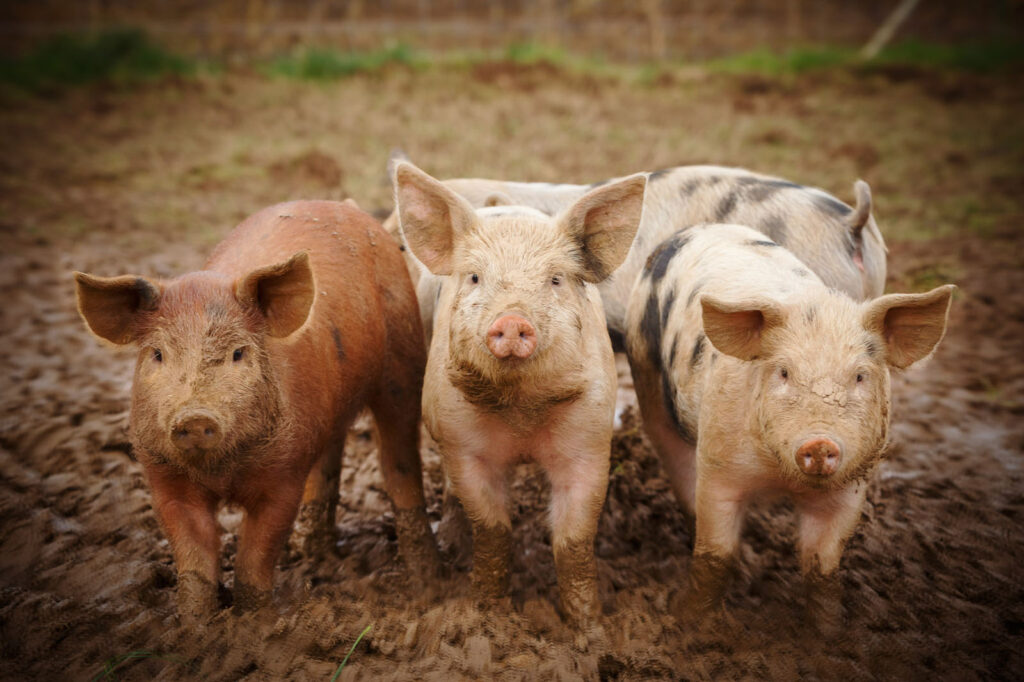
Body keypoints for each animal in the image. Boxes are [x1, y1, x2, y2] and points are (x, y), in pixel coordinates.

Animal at [74, 200, 439, 619]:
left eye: (238, 353)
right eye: (157, 354)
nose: (195, 417)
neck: (222, 473)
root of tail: (344, 206)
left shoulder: (284, 476)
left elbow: (256, 555)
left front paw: (255, 624)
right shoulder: (164, 477)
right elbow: (194, 559)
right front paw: (193, 627)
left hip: (402, 362)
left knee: (399, 456)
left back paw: (424, 579)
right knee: (329, 457)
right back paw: (314, 557)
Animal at [392, 161, 647, 627]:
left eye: (555, 279)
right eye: (475, 277)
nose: (512, 320)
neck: (521, 412)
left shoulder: (590, 440)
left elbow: (574, 539)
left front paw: (589, 625)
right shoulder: (462, 442)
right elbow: (492, 528)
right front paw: (486, 613)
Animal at [623, 222, 954, 630]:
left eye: (860, 376)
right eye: (783, 372)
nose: (819, 442)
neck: (779, 478)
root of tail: (697, 228)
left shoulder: (852, 486)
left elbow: (822, 564)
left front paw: (830, 632)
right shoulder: (719, 466)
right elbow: (716, 553)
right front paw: (689, 621)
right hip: (648, 377)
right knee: (677, 465)